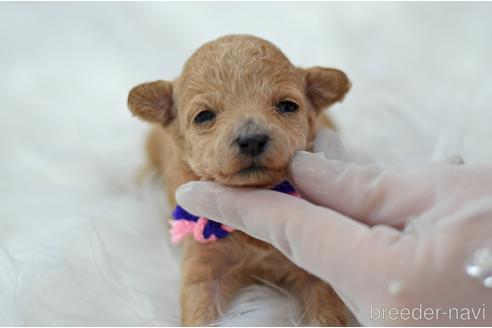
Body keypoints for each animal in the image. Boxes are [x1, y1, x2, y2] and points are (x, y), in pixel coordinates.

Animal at [127, 34, 350, 326]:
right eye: (204, 116)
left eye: (287, 106)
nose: (252, 139)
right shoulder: (204, 266)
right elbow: (200, 311)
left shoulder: (316, 270)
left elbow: (326, 311)